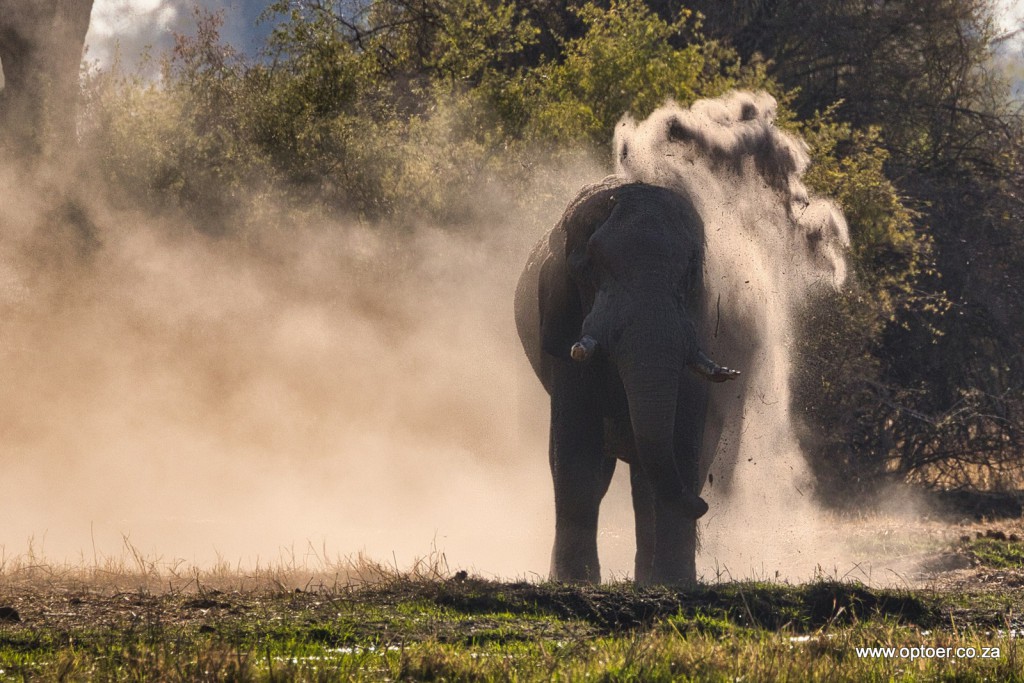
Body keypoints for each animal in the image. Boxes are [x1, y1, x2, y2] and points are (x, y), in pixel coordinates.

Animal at [514, 175, 739, 586]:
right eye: (588, 268)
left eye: (690, 273)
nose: (704, 505)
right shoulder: (565, 323)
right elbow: (576, 449)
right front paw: (577, 583)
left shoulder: (698, 325)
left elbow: (683, 440)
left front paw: (676, 584)